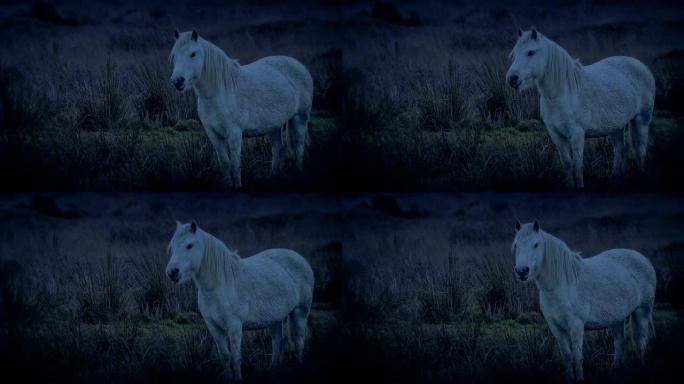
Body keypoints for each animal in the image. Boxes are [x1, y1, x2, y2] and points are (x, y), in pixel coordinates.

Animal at [166, 220, 316, 380]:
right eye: (172, 247)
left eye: (189, 245)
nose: (172, 272)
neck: (220, 284)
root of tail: (300, 258)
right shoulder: (213, 326)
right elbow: (225, 356)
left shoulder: (235, 326)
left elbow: (235, 357)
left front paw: (237, 378)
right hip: (275, 318)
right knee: (277, 343)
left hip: (300, 312)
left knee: (298, 341)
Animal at [170, 29, 314, 188]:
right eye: (174, 55)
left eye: (193, 54)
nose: (177, 81)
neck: (221, 92)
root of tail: (299, 65)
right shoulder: (213, 134)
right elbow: (225, 163)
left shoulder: (234, 133)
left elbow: (235, 164)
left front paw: (238, 186)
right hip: (275, 125)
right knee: (277, 148)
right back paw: (273, 176)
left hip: (300, 117)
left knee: (299, 146)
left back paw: (299, 172)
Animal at [504, 28, 656, 188]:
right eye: (514, 54)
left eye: (530, 52)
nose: (511, 78)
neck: (563, 92)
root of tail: (641, 66)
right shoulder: (556, 134)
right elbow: (567, 164)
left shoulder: (577, 133)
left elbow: (578, 165)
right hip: (617, 126)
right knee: (619, 150)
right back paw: (615, 177)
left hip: (642, 119)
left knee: (640, 149)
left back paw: (641, 175)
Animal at [512, 220, 656, 380]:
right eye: (516, 245)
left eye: (536, 244)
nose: (521, 271)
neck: (561, 285)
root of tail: (643, 258)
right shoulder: (556, 327)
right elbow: (567, 356)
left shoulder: (576, 325)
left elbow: (577, 357)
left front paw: (580, 378)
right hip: (618, 318)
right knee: (620, 343)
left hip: (642, 311)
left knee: (641, 341)